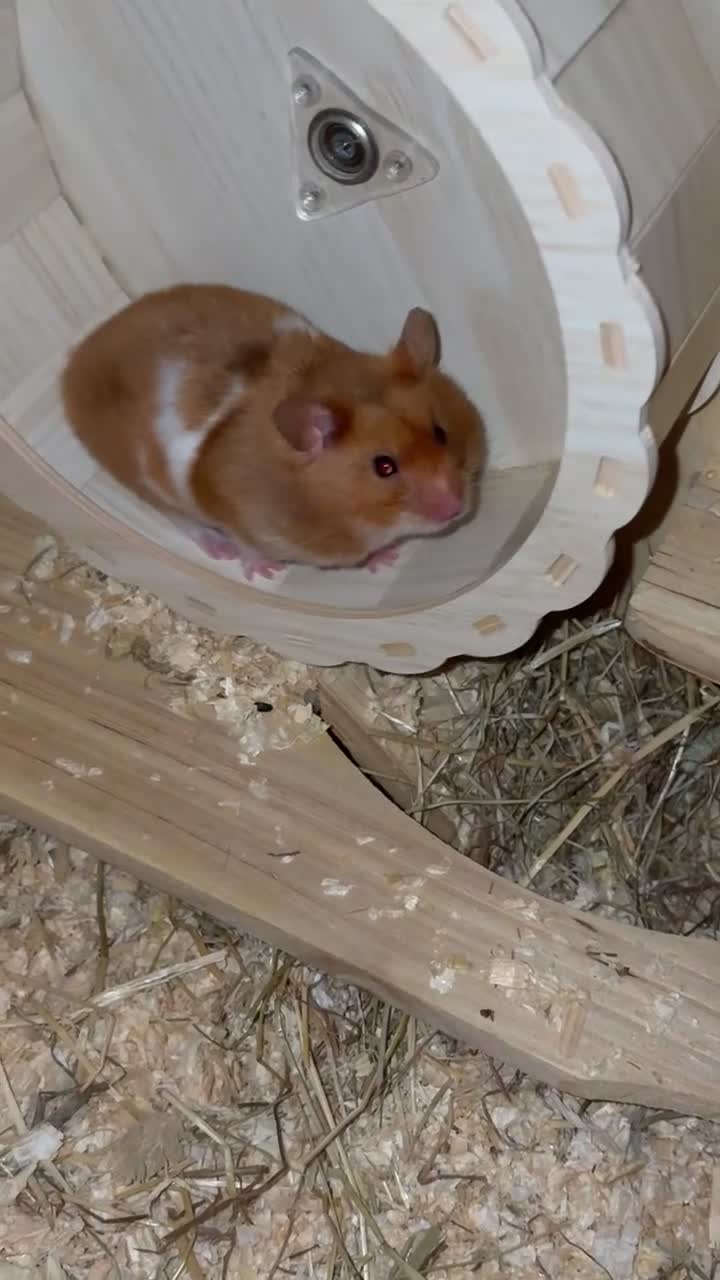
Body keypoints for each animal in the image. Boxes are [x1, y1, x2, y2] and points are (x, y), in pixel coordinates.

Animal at [61, 284, 484, 581]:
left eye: (441, 432)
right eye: (384, 467)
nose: (456, 508)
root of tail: (75, 364)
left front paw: (388, 559)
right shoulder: (235, 514)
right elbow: (245, 541)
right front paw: (266, 571)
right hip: (151, 487)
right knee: (183, 521)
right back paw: (222, 551)